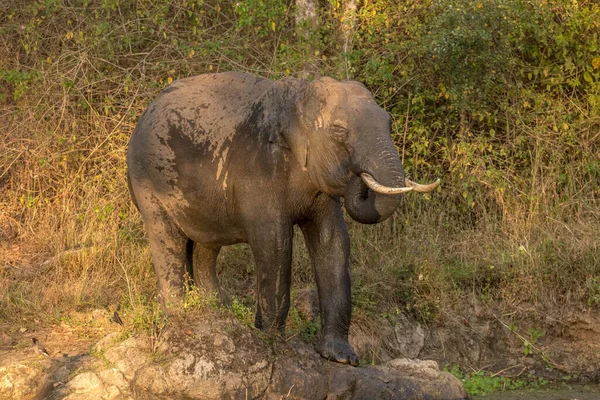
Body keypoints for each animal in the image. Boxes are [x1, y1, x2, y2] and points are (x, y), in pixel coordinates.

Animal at [126, 71, 438, 366]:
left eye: (389, 123)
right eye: (339, 130)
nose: (358, 177)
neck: (298, 97)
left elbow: (333, 241)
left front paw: (340, 357)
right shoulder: (259, 169)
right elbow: (274, 242)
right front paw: (273, 342)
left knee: (205, 246)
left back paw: (215, 313)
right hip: (147, 183)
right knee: (168, 240)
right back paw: (181, 318)